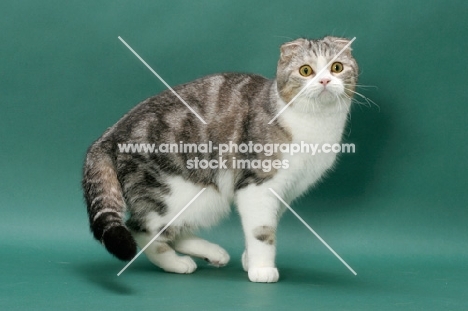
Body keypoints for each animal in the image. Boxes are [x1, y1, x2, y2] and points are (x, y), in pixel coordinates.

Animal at [82, 36, 358, 282]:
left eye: (337, 67)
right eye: (305, 70)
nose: (324, 80)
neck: (317, 125)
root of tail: (109, 135)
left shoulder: (285, 192)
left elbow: (265, 225)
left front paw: (249, 260)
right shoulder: (257, 185)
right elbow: (261, 231)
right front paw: (262, 269)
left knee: (170, 229)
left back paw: (213, 254)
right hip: (177, 192)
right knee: (141, 228)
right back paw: (176, 263)